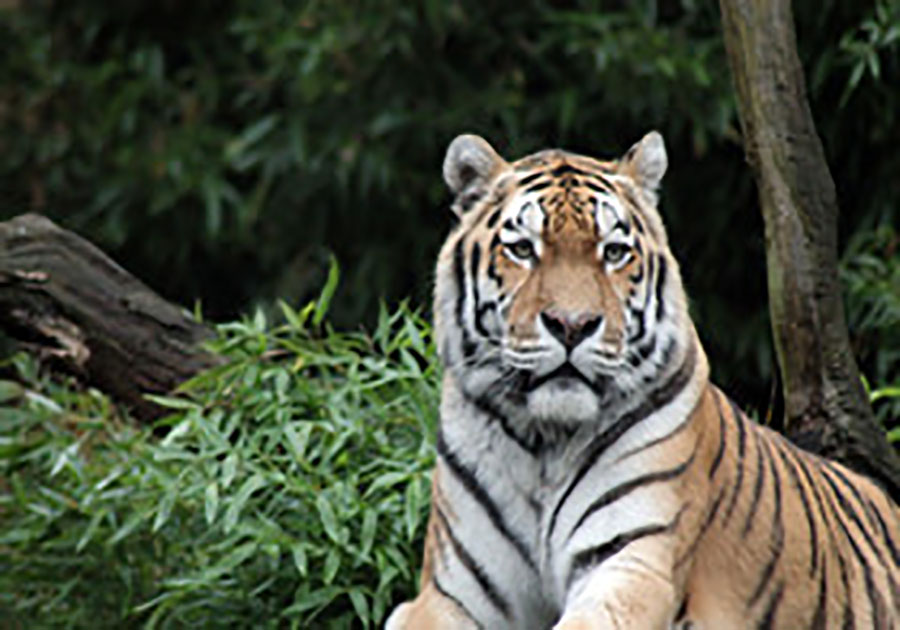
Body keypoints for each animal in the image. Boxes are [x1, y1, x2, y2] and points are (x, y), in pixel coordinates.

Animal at [385, 131, 900, 629]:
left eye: (613, 252)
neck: (544, 443)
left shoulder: (631, 562)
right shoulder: (451, 594)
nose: (572, 325)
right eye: (522, 249)